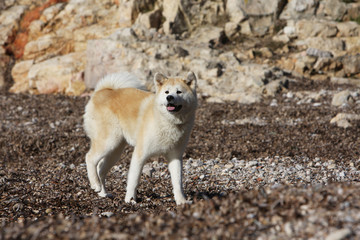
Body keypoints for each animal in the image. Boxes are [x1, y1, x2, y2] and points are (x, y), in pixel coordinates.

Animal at [83, 71, 198, 204]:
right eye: (167, 92)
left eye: (179, 92)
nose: (169, 98)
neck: (166, 121)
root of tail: (102, 91)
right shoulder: (140, 154)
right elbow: (134, 180)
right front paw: (130, 199)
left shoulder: (175, 157)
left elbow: (178, 182)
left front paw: (181, 201)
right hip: (108, 142)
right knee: (90, 158)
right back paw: (95, 184)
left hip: (115, 150)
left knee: (101, 169)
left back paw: (103, 193)